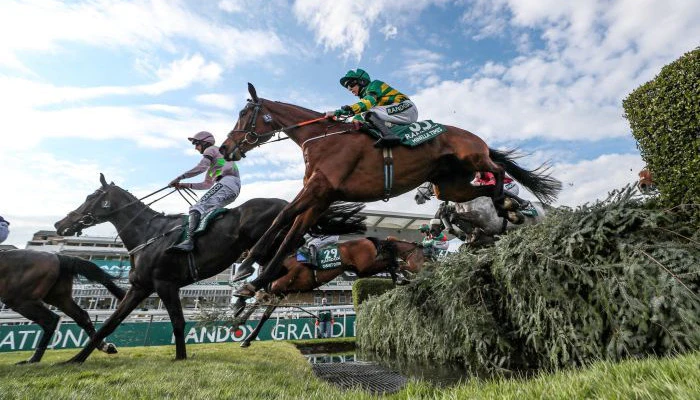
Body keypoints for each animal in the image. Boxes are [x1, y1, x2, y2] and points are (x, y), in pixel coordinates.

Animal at [53, 173, 366, 363]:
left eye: (91, 197)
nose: (60, 224)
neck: (148, 234)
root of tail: (288, 203)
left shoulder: (165, 284)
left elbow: (178, 322)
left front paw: (180, 357)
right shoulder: (141, 287)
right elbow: (111, 321)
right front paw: (78, 358)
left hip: (270, 243)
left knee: (276, 271)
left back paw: (247, 294)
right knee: (276, 275)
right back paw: (246, 299)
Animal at [234, 236, 425, 347]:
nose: (238, 259)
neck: (282, 262)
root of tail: (368, 239)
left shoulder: (278, 291)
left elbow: (262, 311)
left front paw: (244, 332)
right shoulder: (279, 293)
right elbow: (261, 309)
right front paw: (242, 325)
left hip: (366, 265)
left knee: (389, 261)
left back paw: (403, 274)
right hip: (362, 269)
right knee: (389, 260)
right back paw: (401, 277)